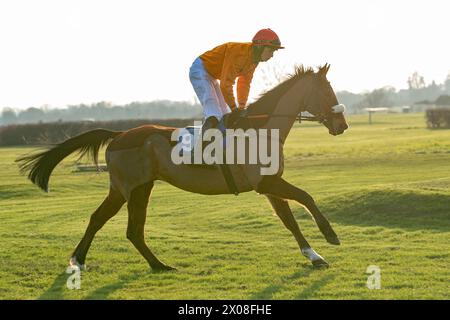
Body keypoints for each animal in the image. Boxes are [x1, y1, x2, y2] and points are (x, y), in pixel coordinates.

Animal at [15, 63, 348, 272]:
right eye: (327, 92)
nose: (342, 125)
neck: (261, 129)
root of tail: (119, 134)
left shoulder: (268, 185)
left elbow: (289, 220)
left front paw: (315, 256)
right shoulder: (265, 183)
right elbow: (306, 197)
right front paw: (330, 234)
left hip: (130, 188)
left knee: (113, 223)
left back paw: (118, 262)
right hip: (132, 188)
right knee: (121, 226)